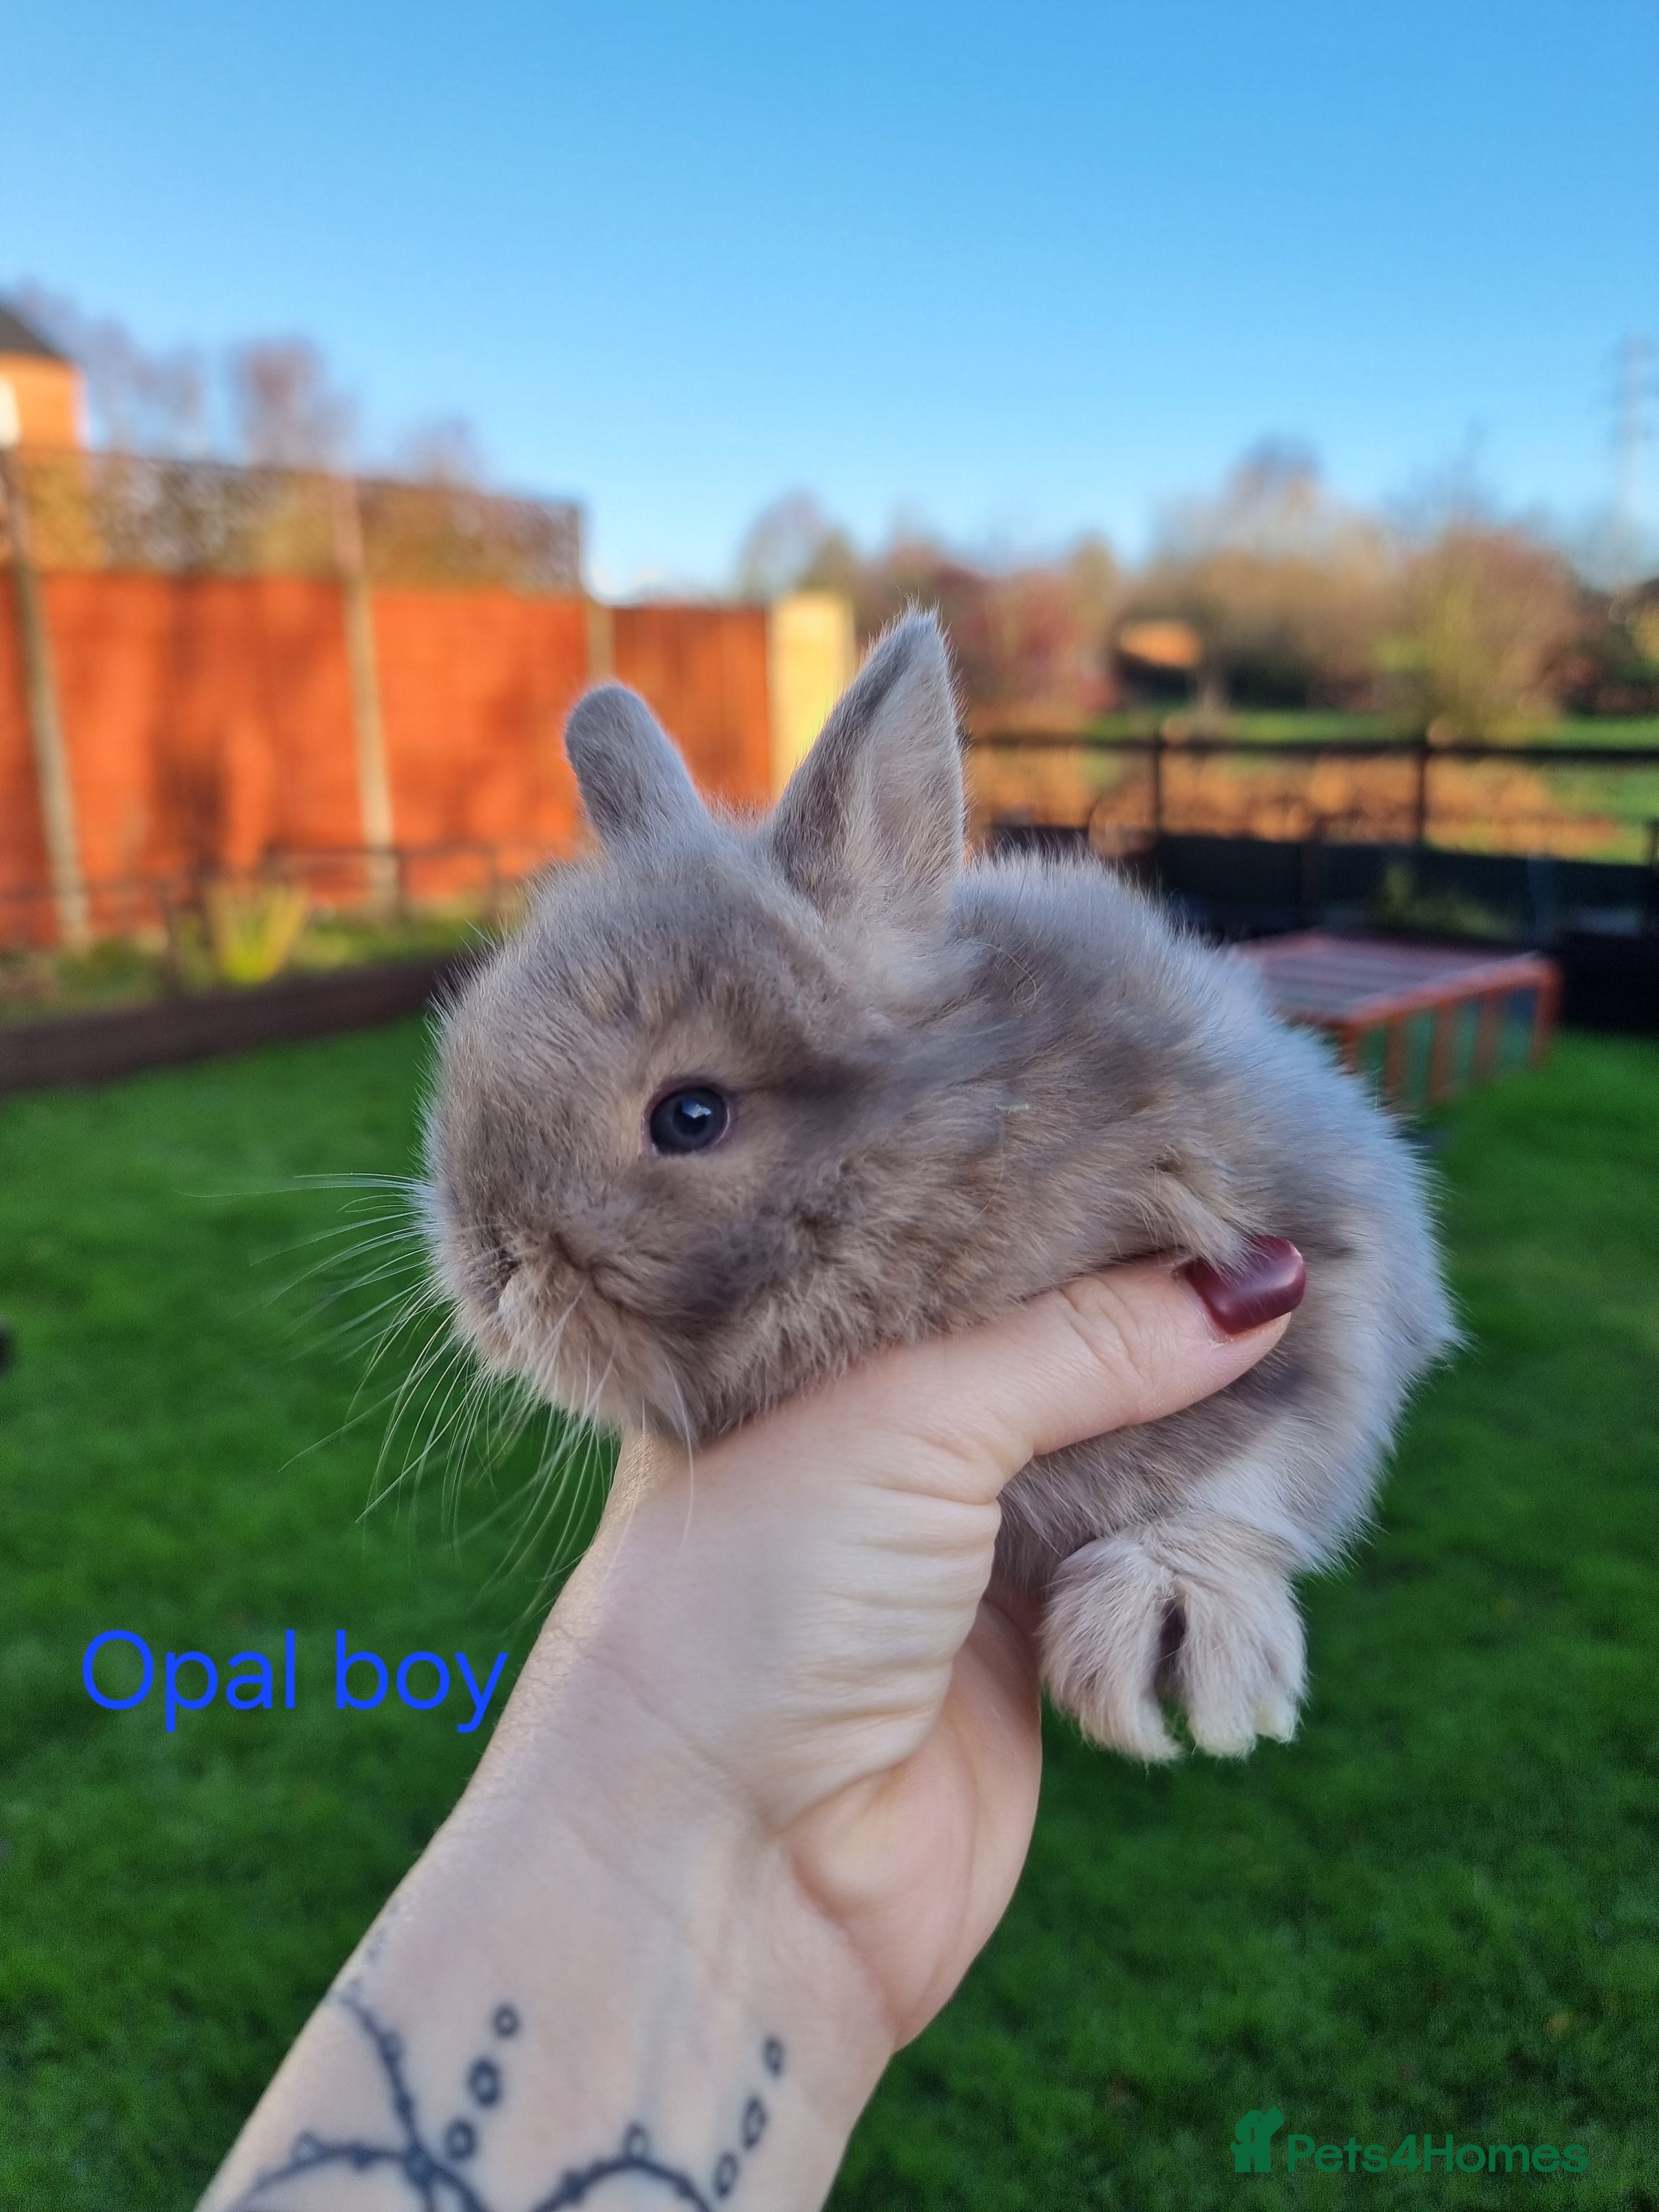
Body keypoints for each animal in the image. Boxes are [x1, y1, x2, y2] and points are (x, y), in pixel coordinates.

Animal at [426, 611, 1455, 1761]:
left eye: (691, 1117)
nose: (492, 1274)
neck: (946, 1160)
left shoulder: (1328, 1260)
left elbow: (1261, 1466)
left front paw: (1172, 1625)